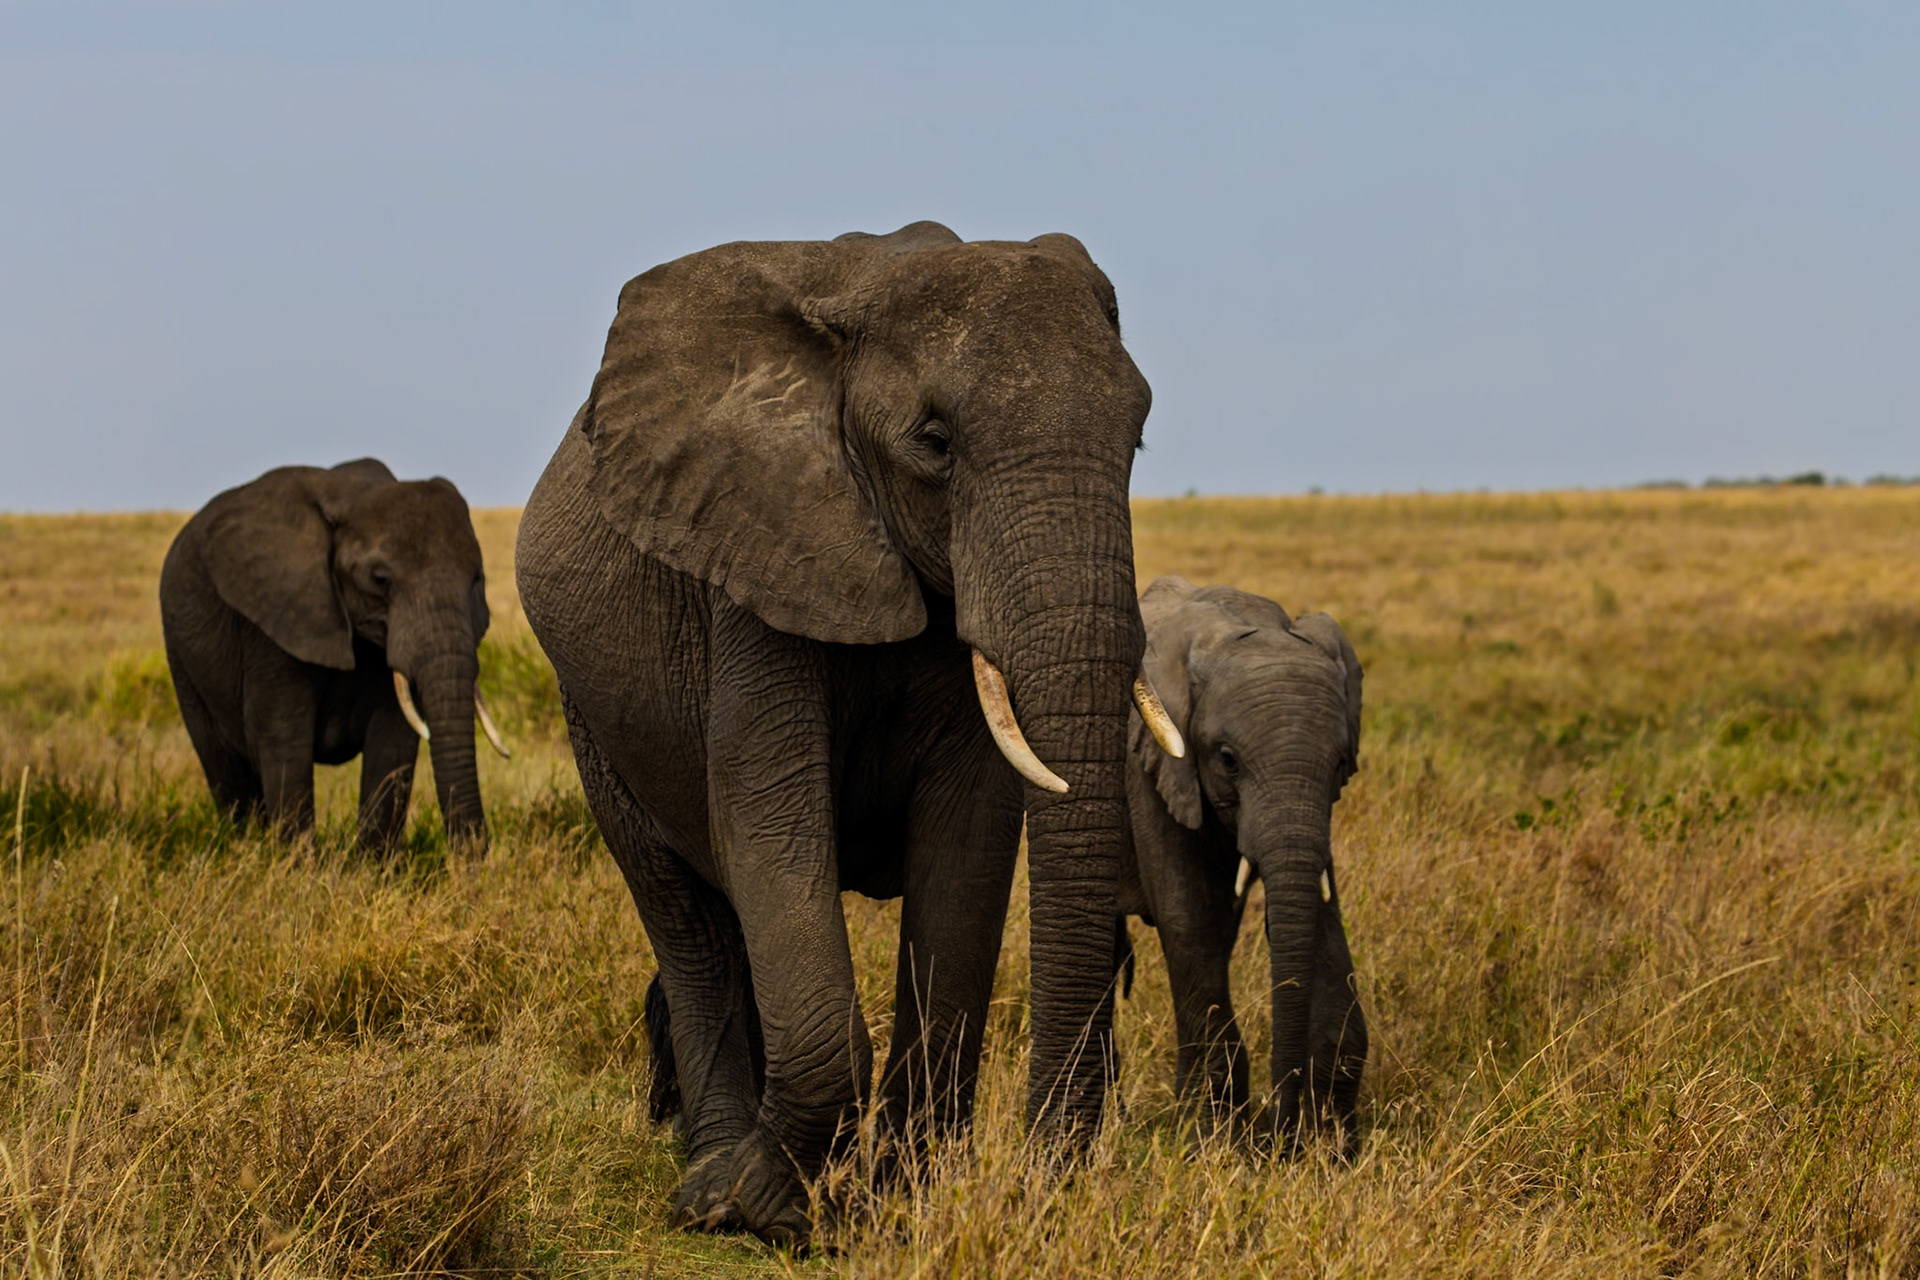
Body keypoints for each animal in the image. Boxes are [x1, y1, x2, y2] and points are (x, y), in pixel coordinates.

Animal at [159, 458, 507, 853]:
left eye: (476, 579)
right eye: (380, 580)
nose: (475, 853)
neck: (355, 495)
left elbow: (393, 741)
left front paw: (371, 866)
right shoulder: (274, 622)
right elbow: (282, 735)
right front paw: (296, 863)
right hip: (181, 657)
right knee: (225, 768)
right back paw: (245, 846)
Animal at [514, 221, 1182, 1243]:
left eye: (1138, 434)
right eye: (934, 443)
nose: (1042, 1182)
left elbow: (969, 840)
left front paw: (904, 1202)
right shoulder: (756, 552)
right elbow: (765, 813)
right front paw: (762, 1207)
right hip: (590, 710)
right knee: (683, 910)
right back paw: (708, 1181)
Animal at [1117, 575, 1367, 1153]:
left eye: (1341, 764)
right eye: (1228, 760)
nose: (1280, 1139)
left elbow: (1316, 913)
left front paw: (1334, 1148)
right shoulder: (1152, 762)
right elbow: (1187, 917)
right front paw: (1208, 1140)